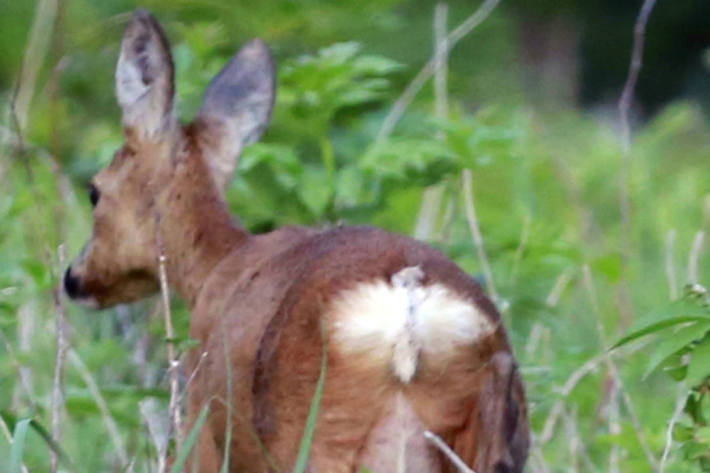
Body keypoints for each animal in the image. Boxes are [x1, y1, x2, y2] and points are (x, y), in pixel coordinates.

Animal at [65, 10, 528, 472]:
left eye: (94, 192)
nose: (73, 277)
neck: (217, 266)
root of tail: (408, 308)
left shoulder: (202, 426)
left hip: (316, 436)